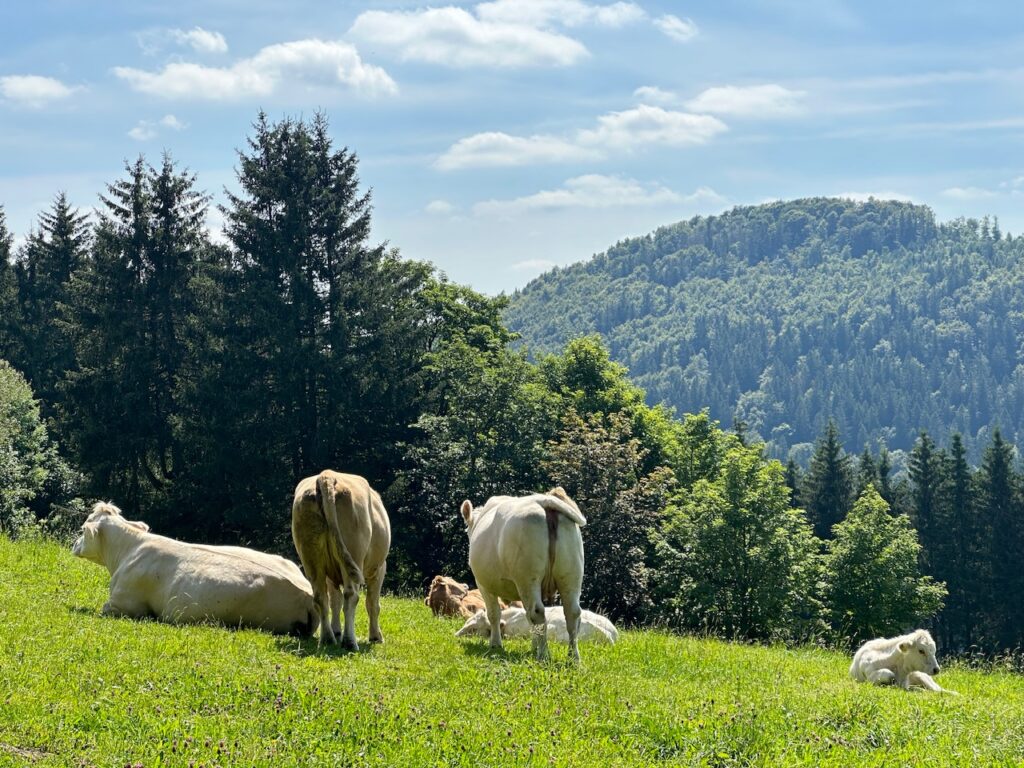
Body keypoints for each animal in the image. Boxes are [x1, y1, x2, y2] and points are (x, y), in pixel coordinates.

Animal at [291, 470, 391, 649]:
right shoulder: (379, 568)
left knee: (320, 597)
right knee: (351, 596)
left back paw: (328, 638)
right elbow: (372, 603)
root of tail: (327, 475)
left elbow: (335, 601)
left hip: (311, 557)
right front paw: (376, 636)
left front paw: (337, 631)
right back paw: (349, 642)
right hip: (354, 553)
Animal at [460, 486, 586, 662]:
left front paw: (495, 644)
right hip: (570, 575)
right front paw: (532, 646)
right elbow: (526, 617)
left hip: (527, 578)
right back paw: (573, 658)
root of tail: (544, 501)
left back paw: (543, 654)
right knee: (572, 613)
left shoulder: (484, 584)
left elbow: (494, 614)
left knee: (537, 612)